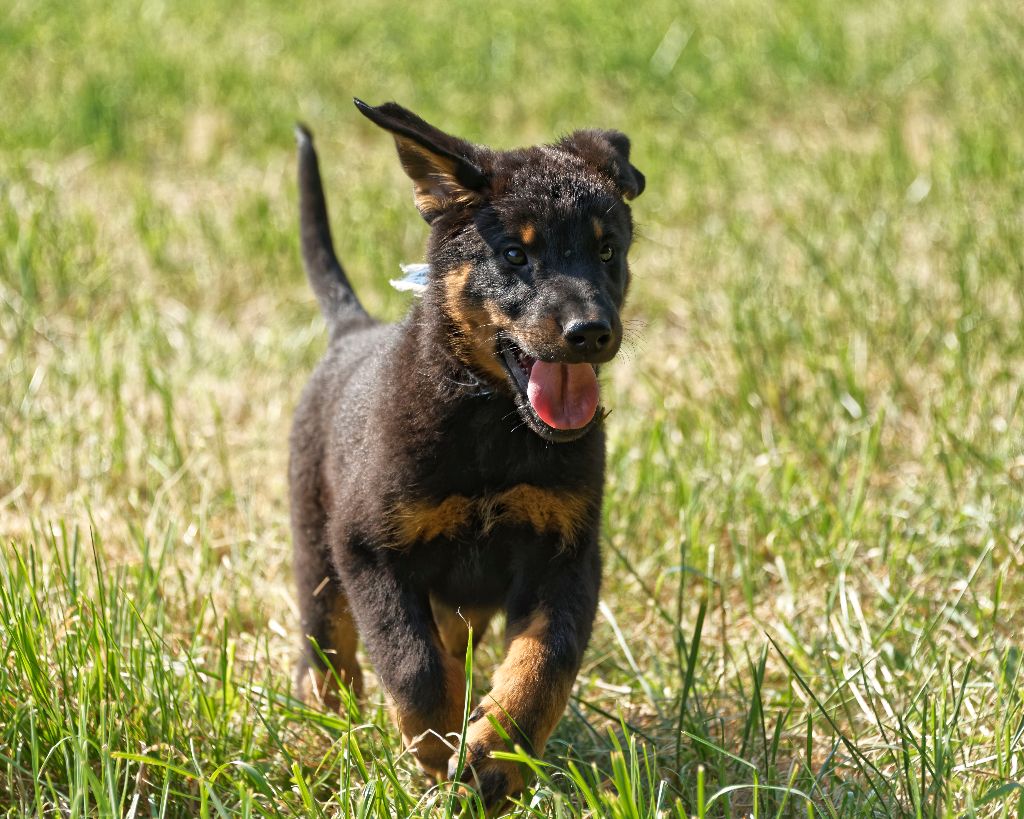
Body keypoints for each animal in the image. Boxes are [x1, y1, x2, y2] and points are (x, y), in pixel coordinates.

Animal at [288, 100, 638, 806]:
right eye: (514, 255)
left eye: (607, 249)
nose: (591, 332)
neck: (492, 429)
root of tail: (350, 330)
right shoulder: (369, 549)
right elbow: (412, 666)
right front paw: (436, 748)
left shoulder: (567, 553)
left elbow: (541, 666)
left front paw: (494, 760)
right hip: (317, 553)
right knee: (329, 656)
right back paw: (326, 735)